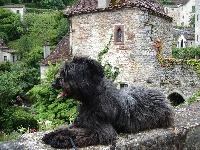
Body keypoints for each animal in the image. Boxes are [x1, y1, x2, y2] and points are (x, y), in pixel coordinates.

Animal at [42, 56, 173, 148]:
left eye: (67, 73)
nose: (53, 83)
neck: (92, 99)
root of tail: (163, 98)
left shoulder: (102, 132)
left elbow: (77, 134)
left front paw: (60, 139)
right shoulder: (80, 123)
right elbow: (66, 129)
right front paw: (52, 134)